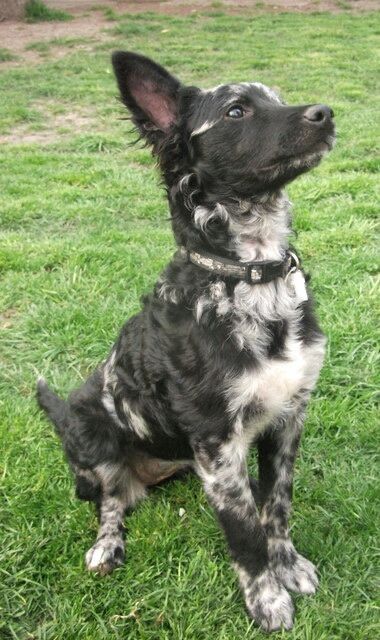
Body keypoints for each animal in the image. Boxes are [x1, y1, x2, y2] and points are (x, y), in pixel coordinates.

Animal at [37, 52, 336, 632]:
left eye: (277, 97)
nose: (326, 113)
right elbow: (244, 534)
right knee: (110, 500)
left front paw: (288, 565)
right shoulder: (218, 443)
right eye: (237, 110)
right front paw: (266, 599)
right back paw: (107, 545)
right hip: (92, 437)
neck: (250, 276)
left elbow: (277, 506)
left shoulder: (288, 418)